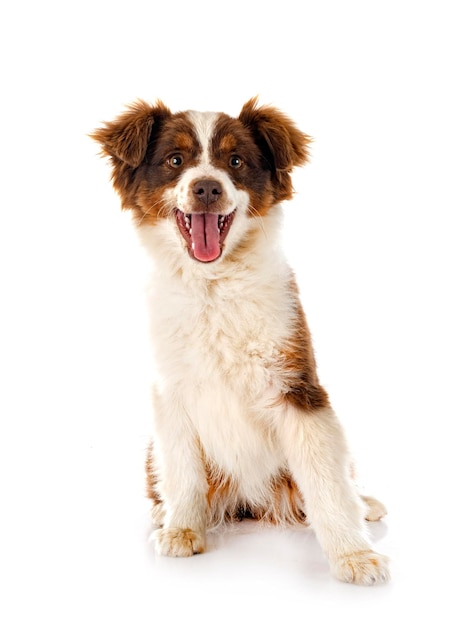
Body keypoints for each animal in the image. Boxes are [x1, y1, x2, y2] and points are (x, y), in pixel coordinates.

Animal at [90, 95, 388, 584]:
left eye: (235, 162)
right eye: (175, 160)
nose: (208, 188)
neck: (214, 286)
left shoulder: (298, 386)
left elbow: (324, 478)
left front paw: (353, 555)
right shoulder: (169, 392)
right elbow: (183, 468)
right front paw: (182, 528)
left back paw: (365, 504)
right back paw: (164, 512)